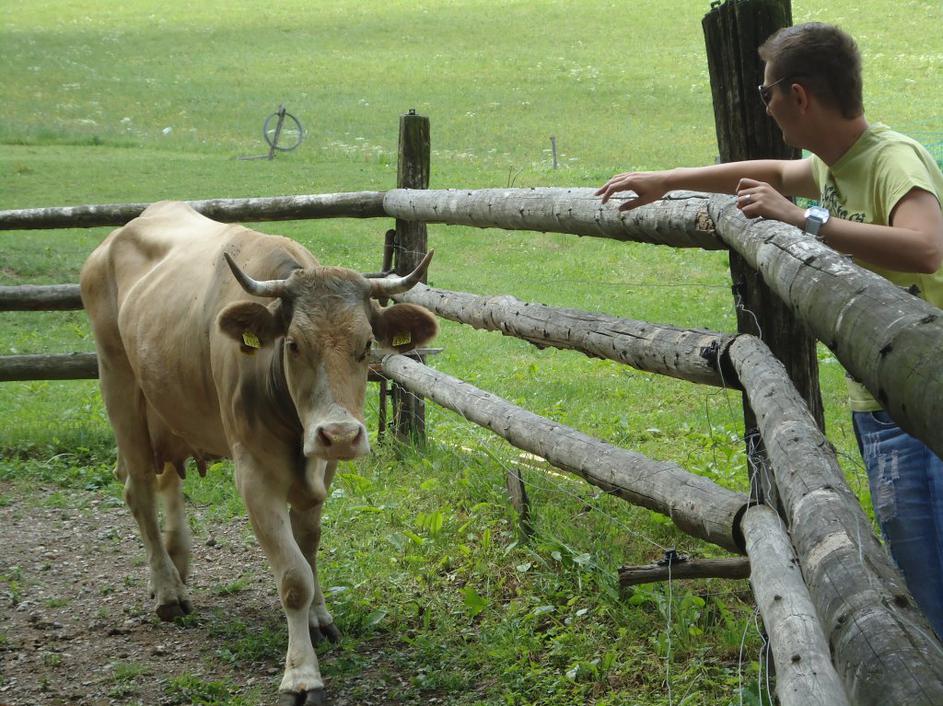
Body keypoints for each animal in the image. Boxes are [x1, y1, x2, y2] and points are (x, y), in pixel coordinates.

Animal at [79, 201, 438, 705]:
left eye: (367, 343)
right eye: (293, 344)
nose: (340, 434)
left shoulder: (322, 472)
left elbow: (308, 549)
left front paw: (319, 618)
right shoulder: (254, 476)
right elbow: (293, 577)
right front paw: (302, 675)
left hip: (167, 401)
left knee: (167, 477)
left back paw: (178, 561)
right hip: (119, 385)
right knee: (139, 490)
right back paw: (168, 590)